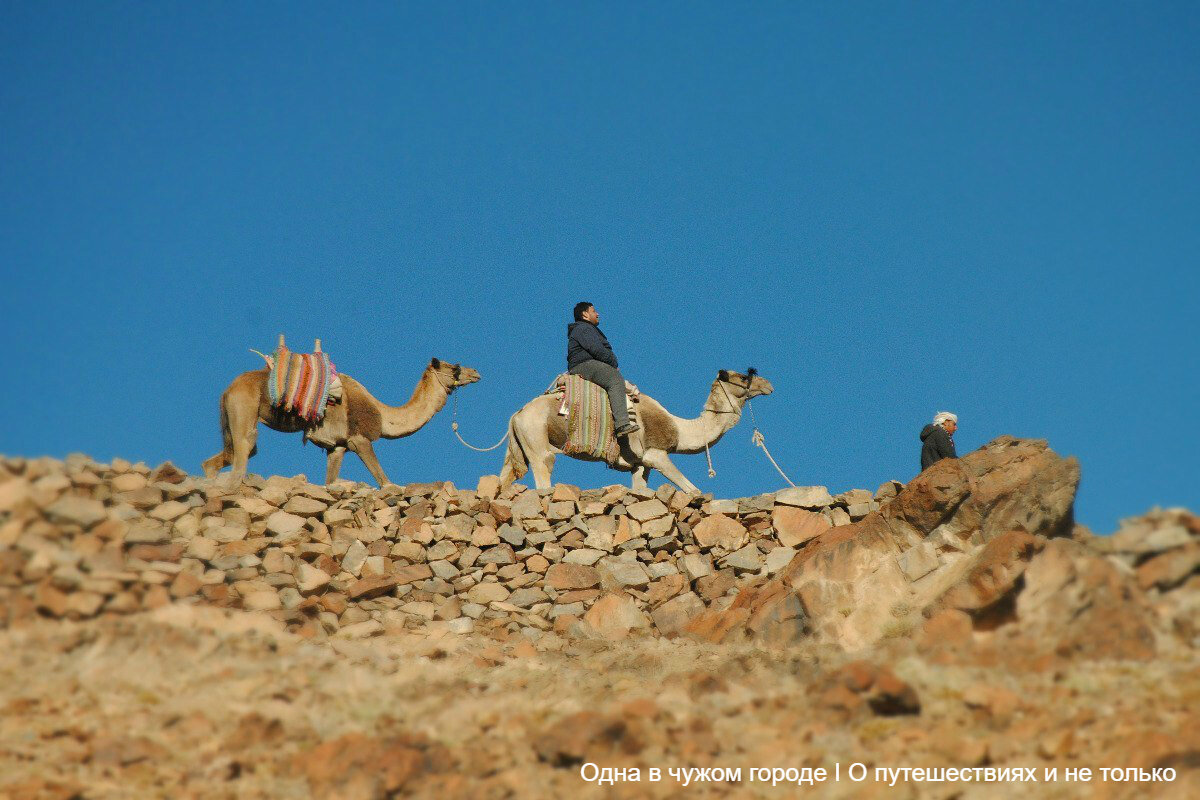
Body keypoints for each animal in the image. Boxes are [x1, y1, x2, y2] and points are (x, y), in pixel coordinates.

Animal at [207, 357, 482, 489]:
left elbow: (329, 481)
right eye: (455, 367)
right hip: (245, 409)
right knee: (244, 451)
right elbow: (384, 480)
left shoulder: (336, 447)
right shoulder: (359, 438)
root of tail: (227, 391)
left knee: (220, 459)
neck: (384, 415)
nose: (476, 373)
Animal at [501, 371, 772, 494]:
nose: (768, 384)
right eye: (744, 377)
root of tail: (516, 415)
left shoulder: (639, 464)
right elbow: (692, 489)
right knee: (544, 467)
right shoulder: (655, 453)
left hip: (520, 443)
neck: (680, 427)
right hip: (536, 436)